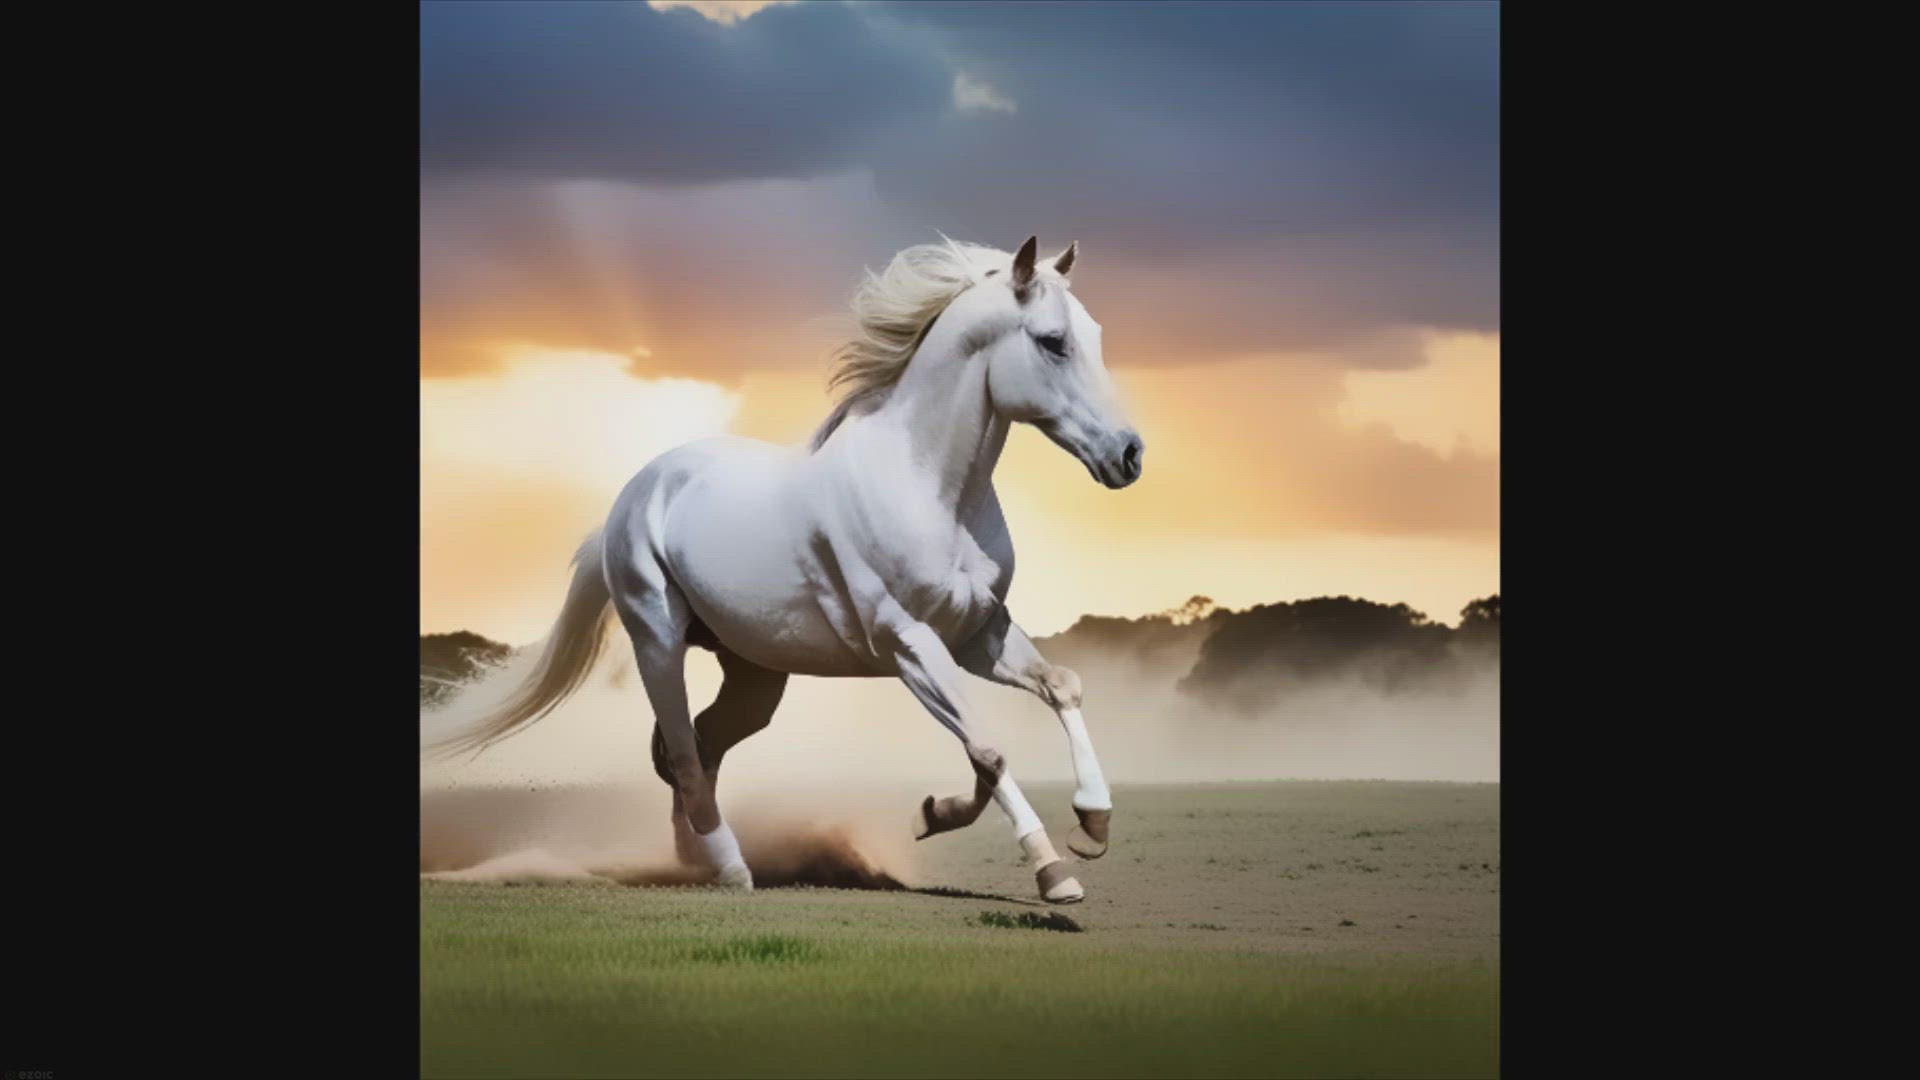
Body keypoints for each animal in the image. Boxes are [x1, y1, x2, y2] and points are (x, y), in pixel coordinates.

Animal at [424, 235, 1144, 904]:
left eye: (1096, 336)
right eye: (1052, 342)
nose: (1129, 456)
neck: (931, 489)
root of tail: (634, 496)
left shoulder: (978, 633)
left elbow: (1054, 692)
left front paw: (1082, 823)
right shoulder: (909, 644)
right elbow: (989, 750)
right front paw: (1054, 873)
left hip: (754, 675)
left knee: (696, 747)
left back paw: (691, 857)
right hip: (658, 639)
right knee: (682, 750)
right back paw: (730, 869)